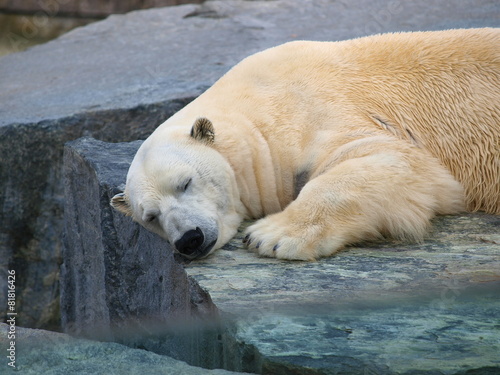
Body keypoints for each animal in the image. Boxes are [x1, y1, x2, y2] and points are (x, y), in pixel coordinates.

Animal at [112, 28, 500, 262]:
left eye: (185, 182)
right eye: (150, 217)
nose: (189, 239)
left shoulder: (316, 110)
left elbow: (391, 159)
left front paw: (269, 235)